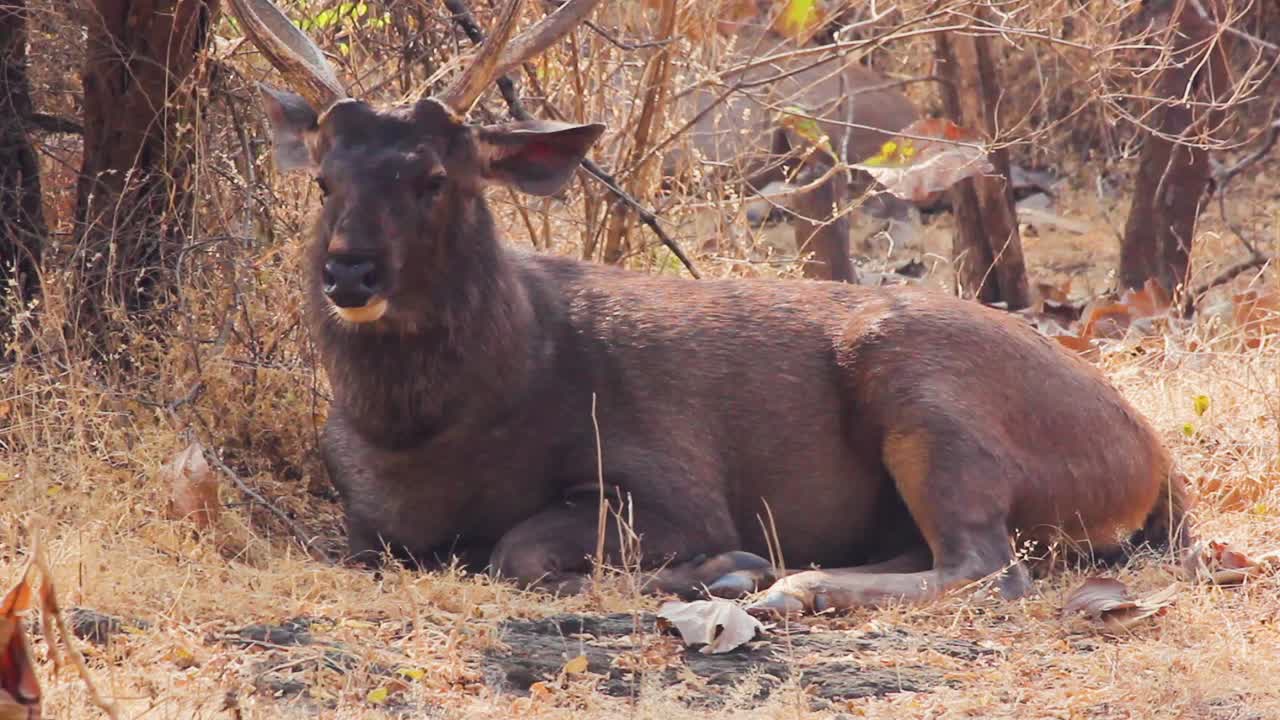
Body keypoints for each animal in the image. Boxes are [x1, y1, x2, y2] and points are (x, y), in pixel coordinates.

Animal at [228, 0, 1192, 615]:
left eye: (433, 177)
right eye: (324, 180)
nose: (349, 273)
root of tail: (1151, 460)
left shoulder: (671, 477)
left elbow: (517, 550)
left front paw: (720, 569)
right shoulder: (362, 522)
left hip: (927, 383)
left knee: (989, 565)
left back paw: (791, 584)